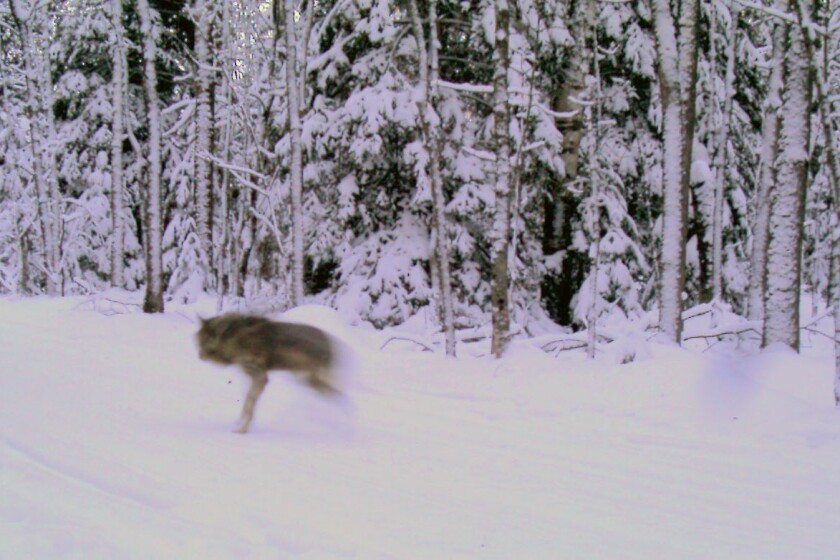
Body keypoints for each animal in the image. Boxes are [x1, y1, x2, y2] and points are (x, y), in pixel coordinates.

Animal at [196, 313, 340, 434]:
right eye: (198, 341)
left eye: (204, 342)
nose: (199, 356)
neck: (233, 338)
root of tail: (330, 342)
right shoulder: (251, 377)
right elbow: (247, 404)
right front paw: (240, 423)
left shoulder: (260, 377)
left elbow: (249, 403)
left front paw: (242, 429)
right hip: (309, 381)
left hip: (311, 380)